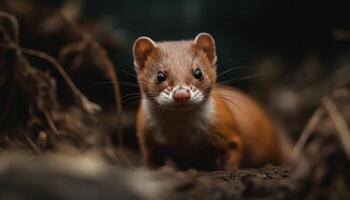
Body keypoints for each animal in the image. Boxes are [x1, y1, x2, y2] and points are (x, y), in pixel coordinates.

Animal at [133, 32, 284, 170]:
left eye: (198, 72)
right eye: (160, 76)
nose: (182, 94)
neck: (182, 137)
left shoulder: (227, 130)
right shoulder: (147, 139)